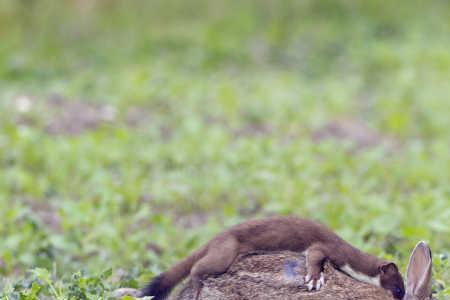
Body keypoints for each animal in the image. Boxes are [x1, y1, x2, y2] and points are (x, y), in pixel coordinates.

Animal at [140, 217, 404, 298]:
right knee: (196, 266)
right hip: (225, 252)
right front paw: (314, 279)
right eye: (400, 289)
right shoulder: (326, 247)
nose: (403, 297)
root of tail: (217, 236)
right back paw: (196, 286)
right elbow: (314, 256)